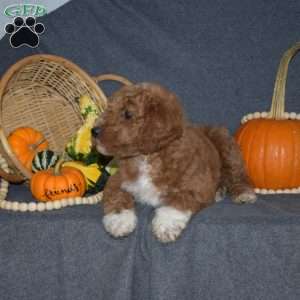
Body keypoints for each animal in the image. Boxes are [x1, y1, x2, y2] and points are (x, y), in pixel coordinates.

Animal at [91, 83, 255, 243]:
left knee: (237, 174)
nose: (93, 131)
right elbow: (117, 197)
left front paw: (166, 226)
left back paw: (243, 194)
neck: (147, 158)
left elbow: (177, 201)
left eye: (127, 114)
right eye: (109, 110)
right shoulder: (116, 180)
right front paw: (119, 222)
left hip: (225, 143)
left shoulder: (196, 187)